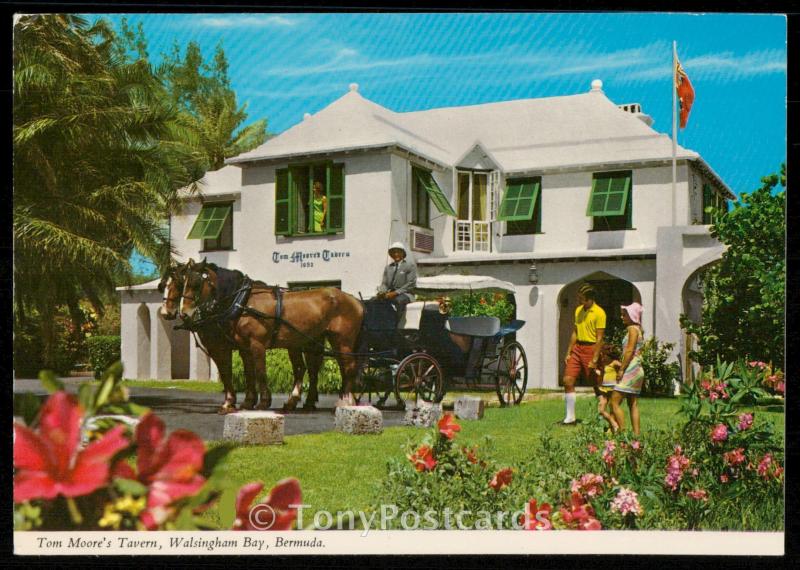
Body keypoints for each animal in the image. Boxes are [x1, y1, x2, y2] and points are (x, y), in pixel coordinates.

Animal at [173, 258, 364, 412]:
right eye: (184, 283)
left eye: (196, 283)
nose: (184, 314)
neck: (243, 301)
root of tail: (354, 300)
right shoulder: (244, 348)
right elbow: (248, 373)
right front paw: (247, 402)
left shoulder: (255, 345)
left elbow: (259, 371)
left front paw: (263, 402)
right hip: (312, 341)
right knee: (313, 368)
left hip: (341, 340)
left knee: (348, 366)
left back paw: (344, 401)